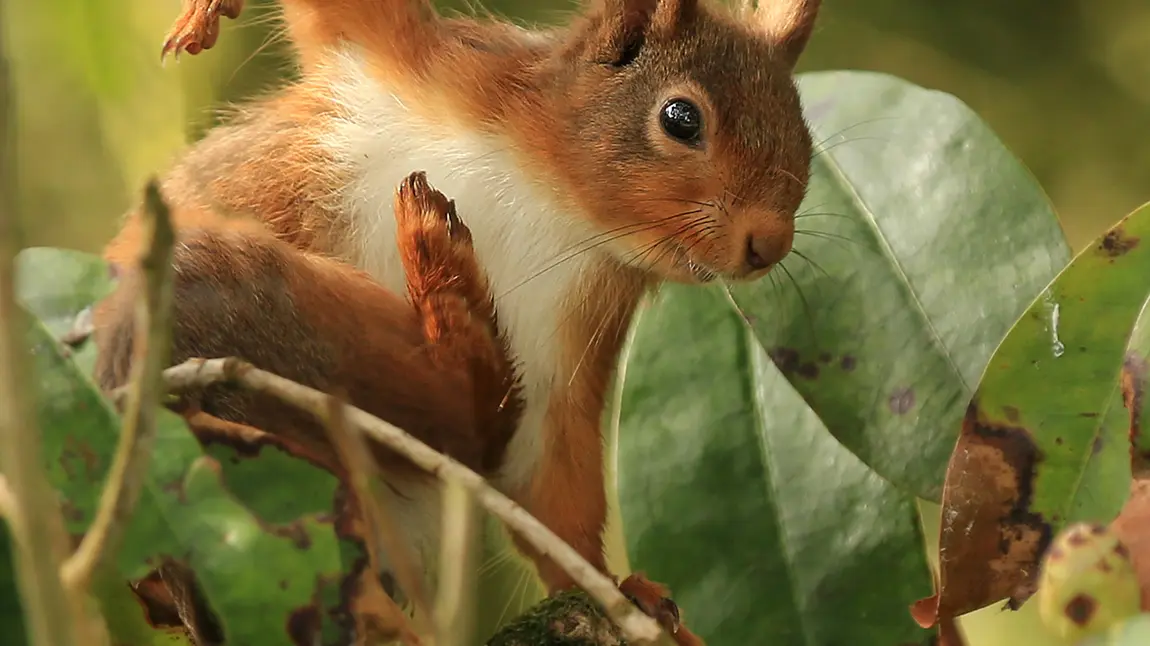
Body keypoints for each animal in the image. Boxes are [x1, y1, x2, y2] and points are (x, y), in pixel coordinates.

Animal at [96, 0, 818, 639]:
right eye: (681, 117)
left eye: (804, 131)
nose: (770, 243)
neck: (553, 196)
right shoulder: (421, 63)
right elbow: (334, 16)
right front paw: (205, 13)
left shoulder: (573, 331)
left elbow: (553, 478)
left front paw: (616, 587)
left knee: (475, 425)